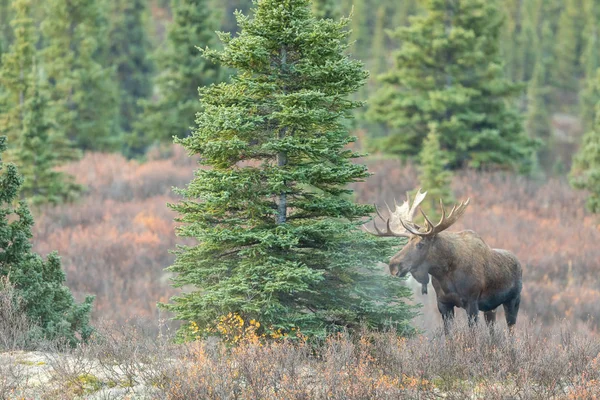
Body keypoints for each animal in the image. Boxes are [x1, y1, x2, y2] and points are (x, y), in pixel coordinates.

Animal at [364, 191, 524, 332]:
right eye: (407, 242)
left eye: (420, 244)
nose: (393, 265)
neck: (446, 275)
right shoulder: (443, 304)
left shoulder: (472, 302)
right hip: (491, 308)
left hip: (513, 300)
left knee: (511, 330)